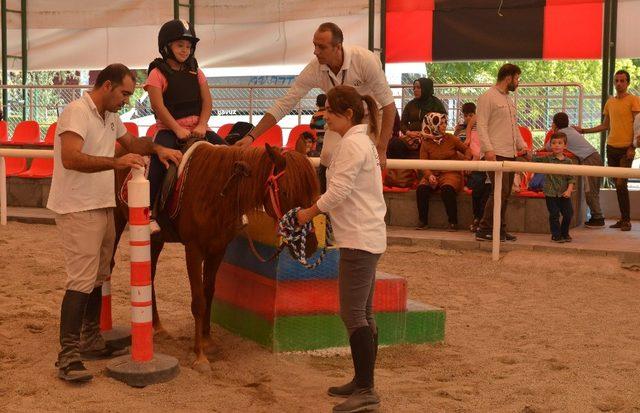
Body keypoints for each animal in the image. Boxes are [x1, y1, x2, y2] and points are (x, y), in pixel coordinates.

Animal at [112, 144, 320, 370]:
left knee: (149, 274)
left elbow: (209, 293)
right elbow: (198, 301)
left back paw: (157, 327)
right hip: (117, 221)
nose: (310, 245)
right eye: (285, 191)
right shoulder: (194, 250)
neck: (217, 190)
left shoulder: (218, 250)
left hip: (156, 239)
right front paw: (199, 356)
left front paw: (207, 341)